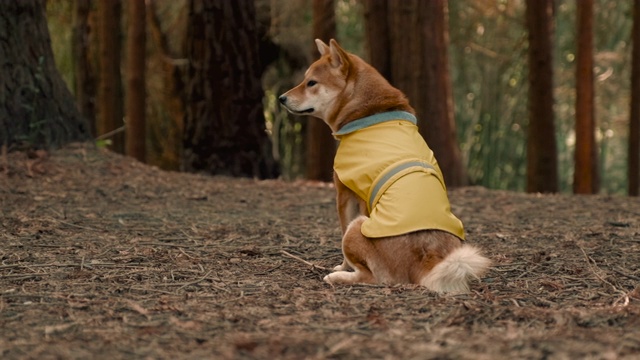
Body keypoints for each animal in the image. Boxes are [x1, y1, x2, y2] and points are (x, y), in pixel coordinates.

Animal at [278, 39, 490, 292]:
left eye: (311, 82)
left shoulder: (345, 194)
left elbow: (342, 237)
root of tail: (426, 264)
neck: (367, 113)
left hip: (357, 227)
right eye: (304, 80)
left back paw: (337, 277)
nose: (280, 98)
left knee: (372, 277)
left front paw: (342, 266)